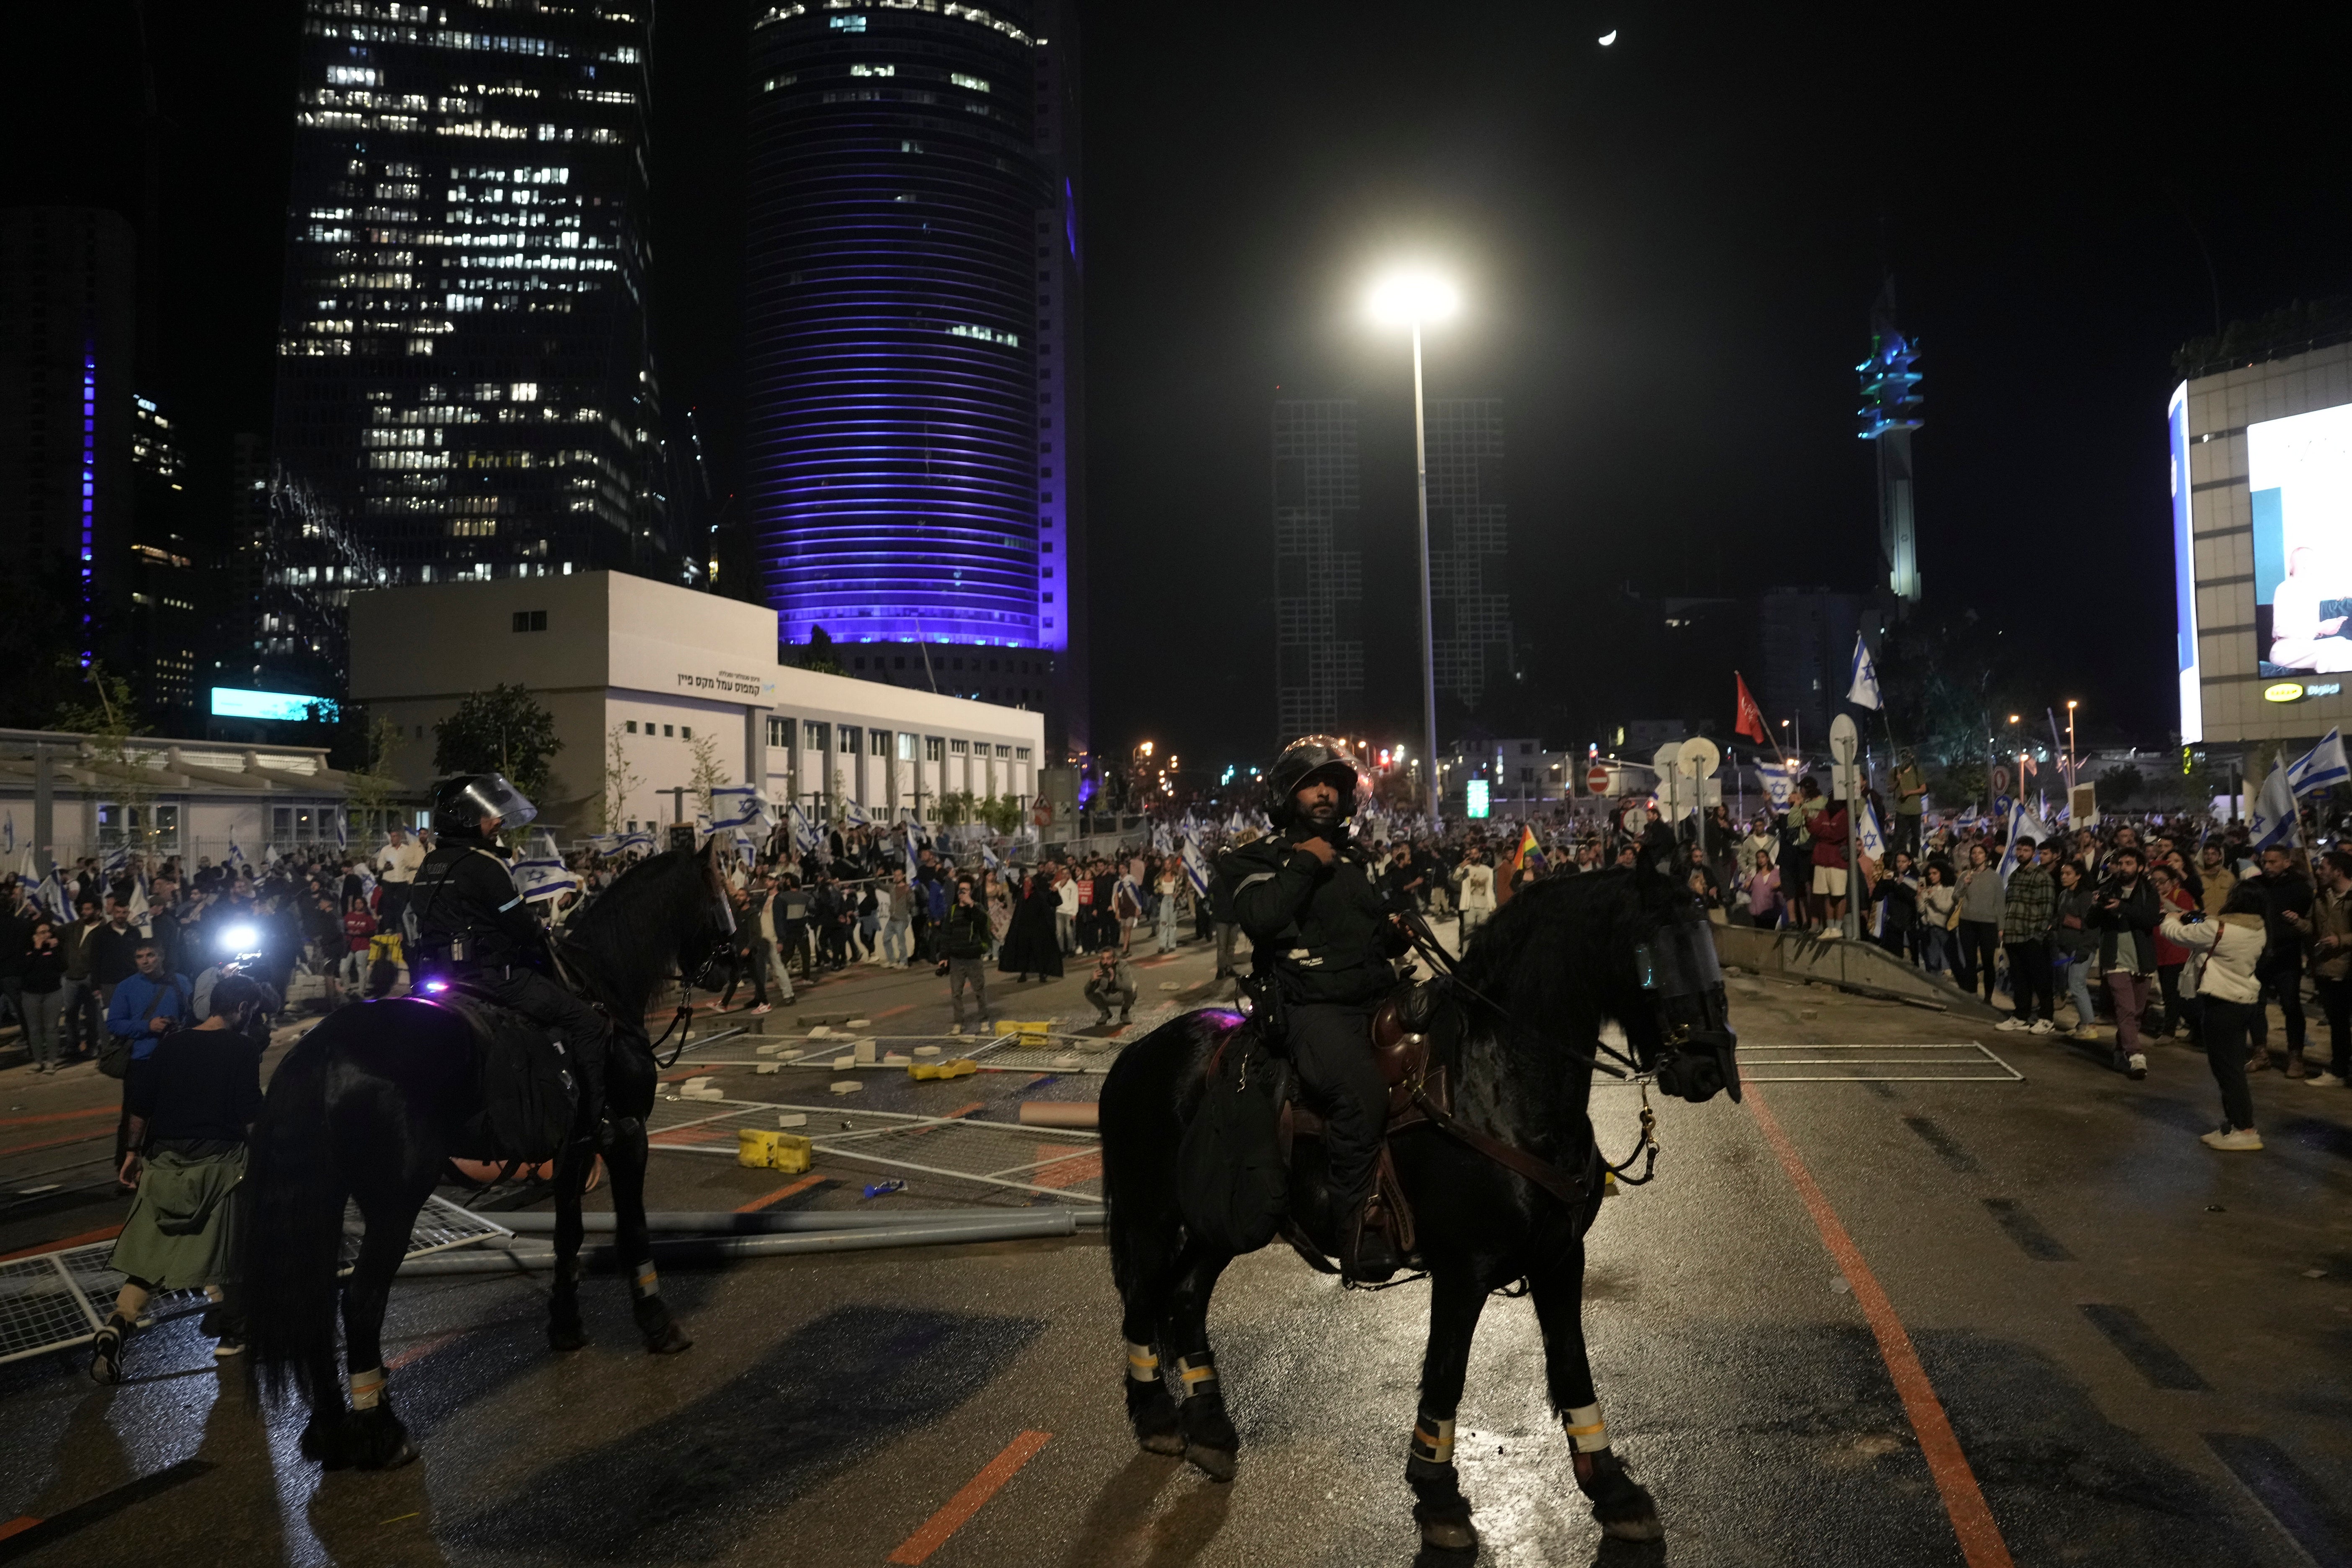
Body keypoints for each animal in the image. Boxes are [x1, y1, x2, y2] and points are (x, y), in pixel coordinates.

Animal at [243, 846, 729, 1476]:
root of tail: (318, 1049)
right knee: (361, 1302)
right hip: (396, 1202)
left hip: (328, 1197)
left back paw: (330, 1431)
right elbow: (633, 1235)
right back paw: (383, 1431)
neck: (600, 984)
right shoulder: (626, 1137)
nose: (729, 965)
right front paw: (658, 1323)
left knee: (317, 1299)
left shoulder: (573, 1149)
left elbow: (568, 1237)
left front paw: (565, 1325)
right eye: (720, 893)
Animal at [1091, 860, 1740, 1561]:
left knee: (1184, 1296)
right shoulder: (1464, 1269)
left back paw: (1210, 1428)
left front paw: (1616, 1494)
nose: (1709, 1065)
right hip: (1151, 1216)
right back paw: (1157, 1417)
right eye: (1656, 956)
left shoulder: (1562, 1257)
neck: (1497, 1083)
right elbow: (1445, 1375)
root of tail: (1136, 1054)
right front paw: (1439, 1500)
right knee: (1143, 1299)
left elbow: (1572, 1370)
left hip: (1225, 1224)